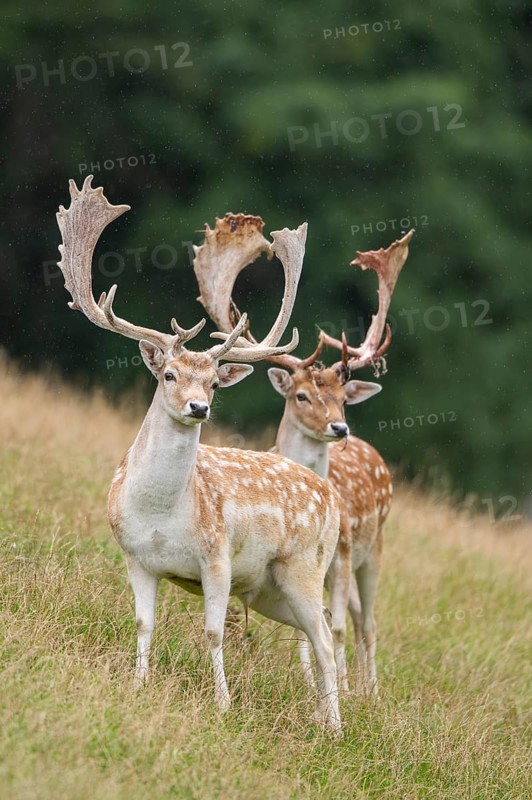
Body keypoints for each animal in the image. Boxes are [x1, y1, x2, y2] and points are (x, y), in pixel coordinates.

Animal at [55, 176, 343, 734]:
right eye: (169, 374)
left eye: (213, 382)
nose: (199, 407)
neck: (162, 515)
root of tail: (333, 497)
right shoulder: (135, 557)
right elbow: (143, 623)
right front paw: (138, 685)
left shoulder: (217, 559)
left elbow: (213, 633)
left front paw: (223, 705)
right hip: (273, 589)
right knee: (316, 633)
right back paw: (321, 720)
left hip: (305, 566)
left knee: (323, 639)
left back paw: (337, 729)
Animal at [193, 216, 413, 696]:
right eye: (302, 395)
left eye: (343, 400)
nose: (340, 428)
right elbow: (308, 626)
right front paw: (314, 681)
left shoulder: (343, 554)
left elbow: (337, 626)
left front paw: (343, 689)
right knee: (351, 617)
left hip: (375, 548)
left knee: (366, 621)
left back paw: (370, 690)